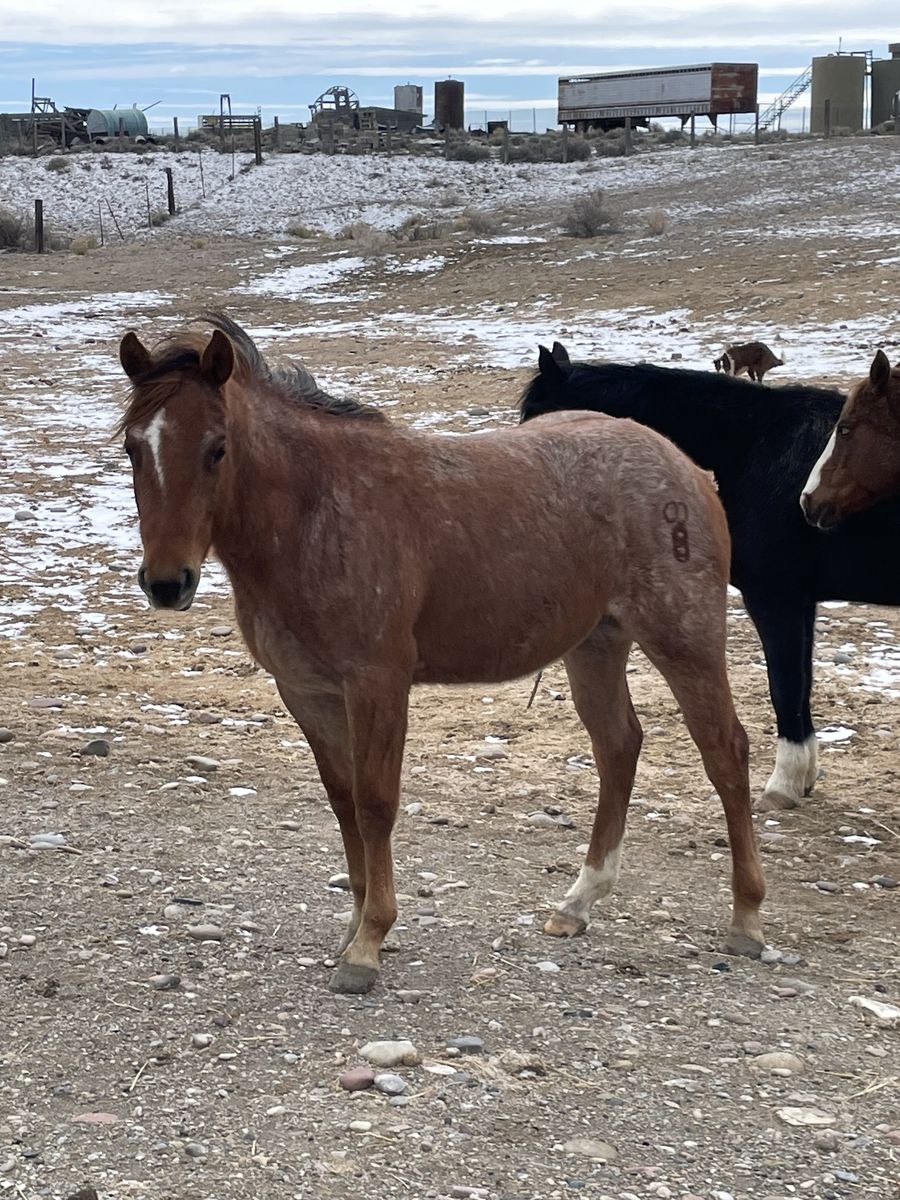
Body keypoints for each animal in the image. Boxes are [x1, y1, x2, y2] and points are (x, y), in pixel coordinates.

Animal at [116, 314, 766, 994]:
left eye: (217, 448)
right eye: (134, 447)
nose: (166, 584)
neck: (317, 510)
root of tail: (685, 467)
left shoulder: (377, 683)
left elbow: (376, 803)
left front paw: (369, 942)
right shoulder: (307, 690)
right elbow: (343, 801)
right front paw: (354, 924)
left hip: (684, 639)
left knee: (725, 753)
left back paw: (746, 918)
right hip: (596, 644)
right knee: (619, 747)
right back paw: (577, 903)